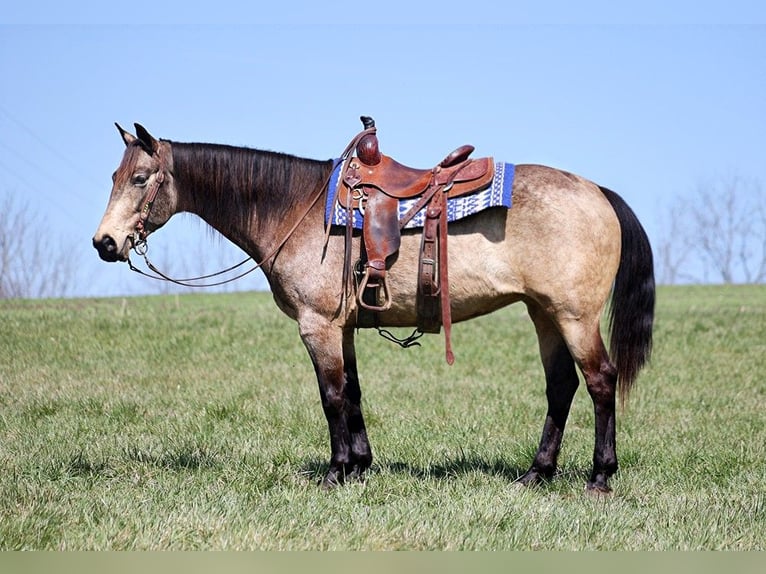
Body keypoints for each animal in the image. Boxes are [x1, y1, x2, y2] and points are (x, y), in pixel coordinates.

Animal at [93, 121, 656, 496]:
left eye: (140, 179)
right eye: (114, 176)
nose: (105, 242)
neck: (294, 208)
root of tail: (596, 192)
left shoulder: (317, 326)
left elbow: (331, 396)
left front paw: (336, 471)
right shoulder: (342, 328)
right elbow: (354, 392)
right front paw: (361, 465)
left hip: (574, 317)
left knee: (600, 381)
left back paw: (600, 476)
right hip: (544, 314)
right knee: (561, 387)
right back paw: (536, 474)